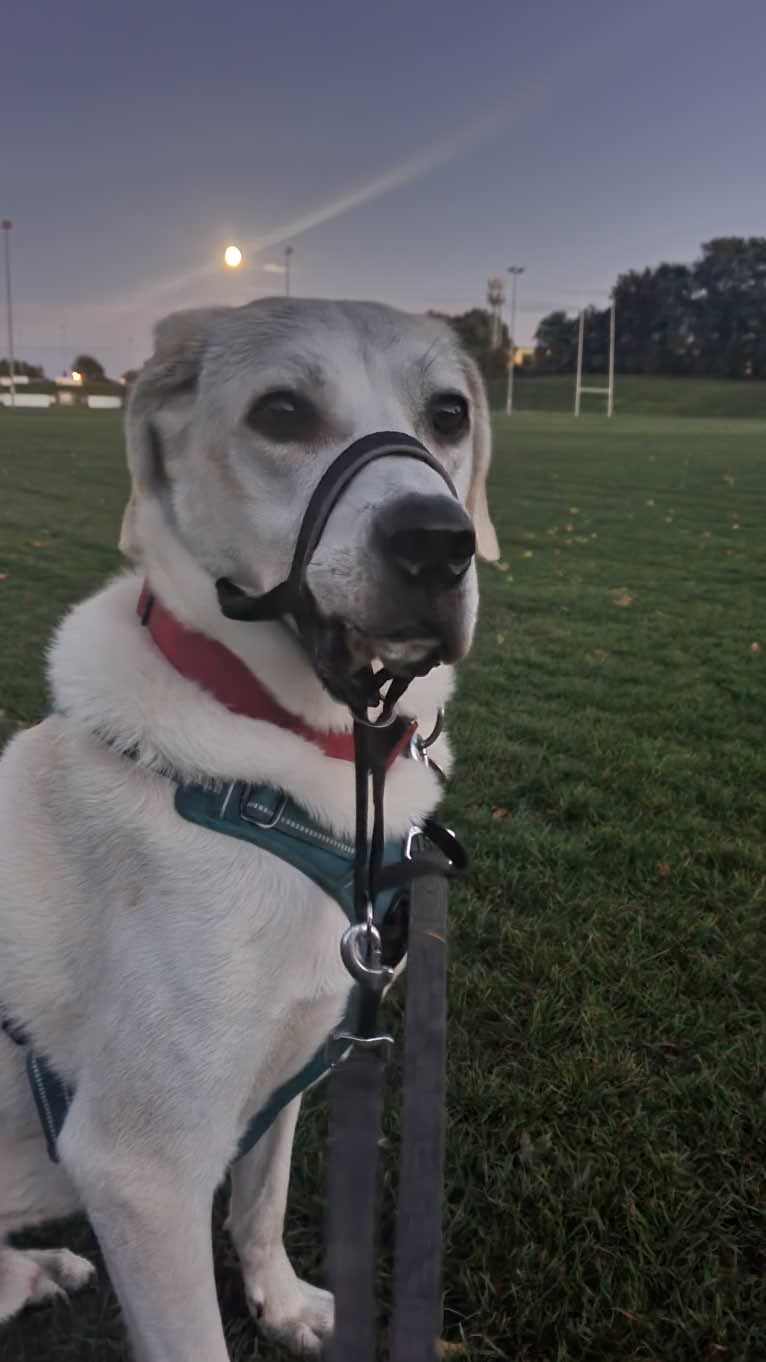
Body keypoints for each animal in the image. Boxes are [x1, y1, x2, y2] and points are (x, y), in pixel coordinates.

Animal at [0, 301, 498, 1362]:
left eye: (448, 413)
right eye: (281, 413)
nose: (439, 543)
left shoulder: (305, 1050)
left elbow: (259, 1203)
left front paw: (286, 1306)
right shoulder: (139, 1168)